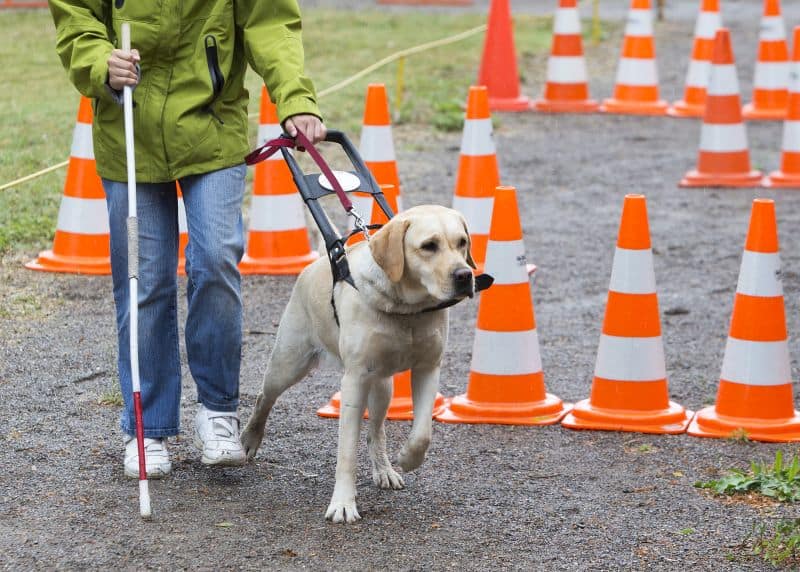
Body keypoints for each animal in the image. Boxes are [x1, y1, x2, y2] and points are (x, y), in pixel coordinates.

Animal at [241, 204, 472, 524]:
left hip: (383, 387)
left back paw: (384, 469)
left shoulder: (428, 368)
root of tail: (315, 264)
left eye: (462, 242)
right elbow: (347, 451)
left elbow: (422, 433)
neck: (406, 309)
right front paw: (342, 504)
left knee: (376, 431)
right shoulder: (354, 381)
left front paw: (408, 458)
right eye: (429, 246)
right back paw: (250, 438)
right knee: (265, 397)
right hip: (288, 364)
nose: (465, 275)